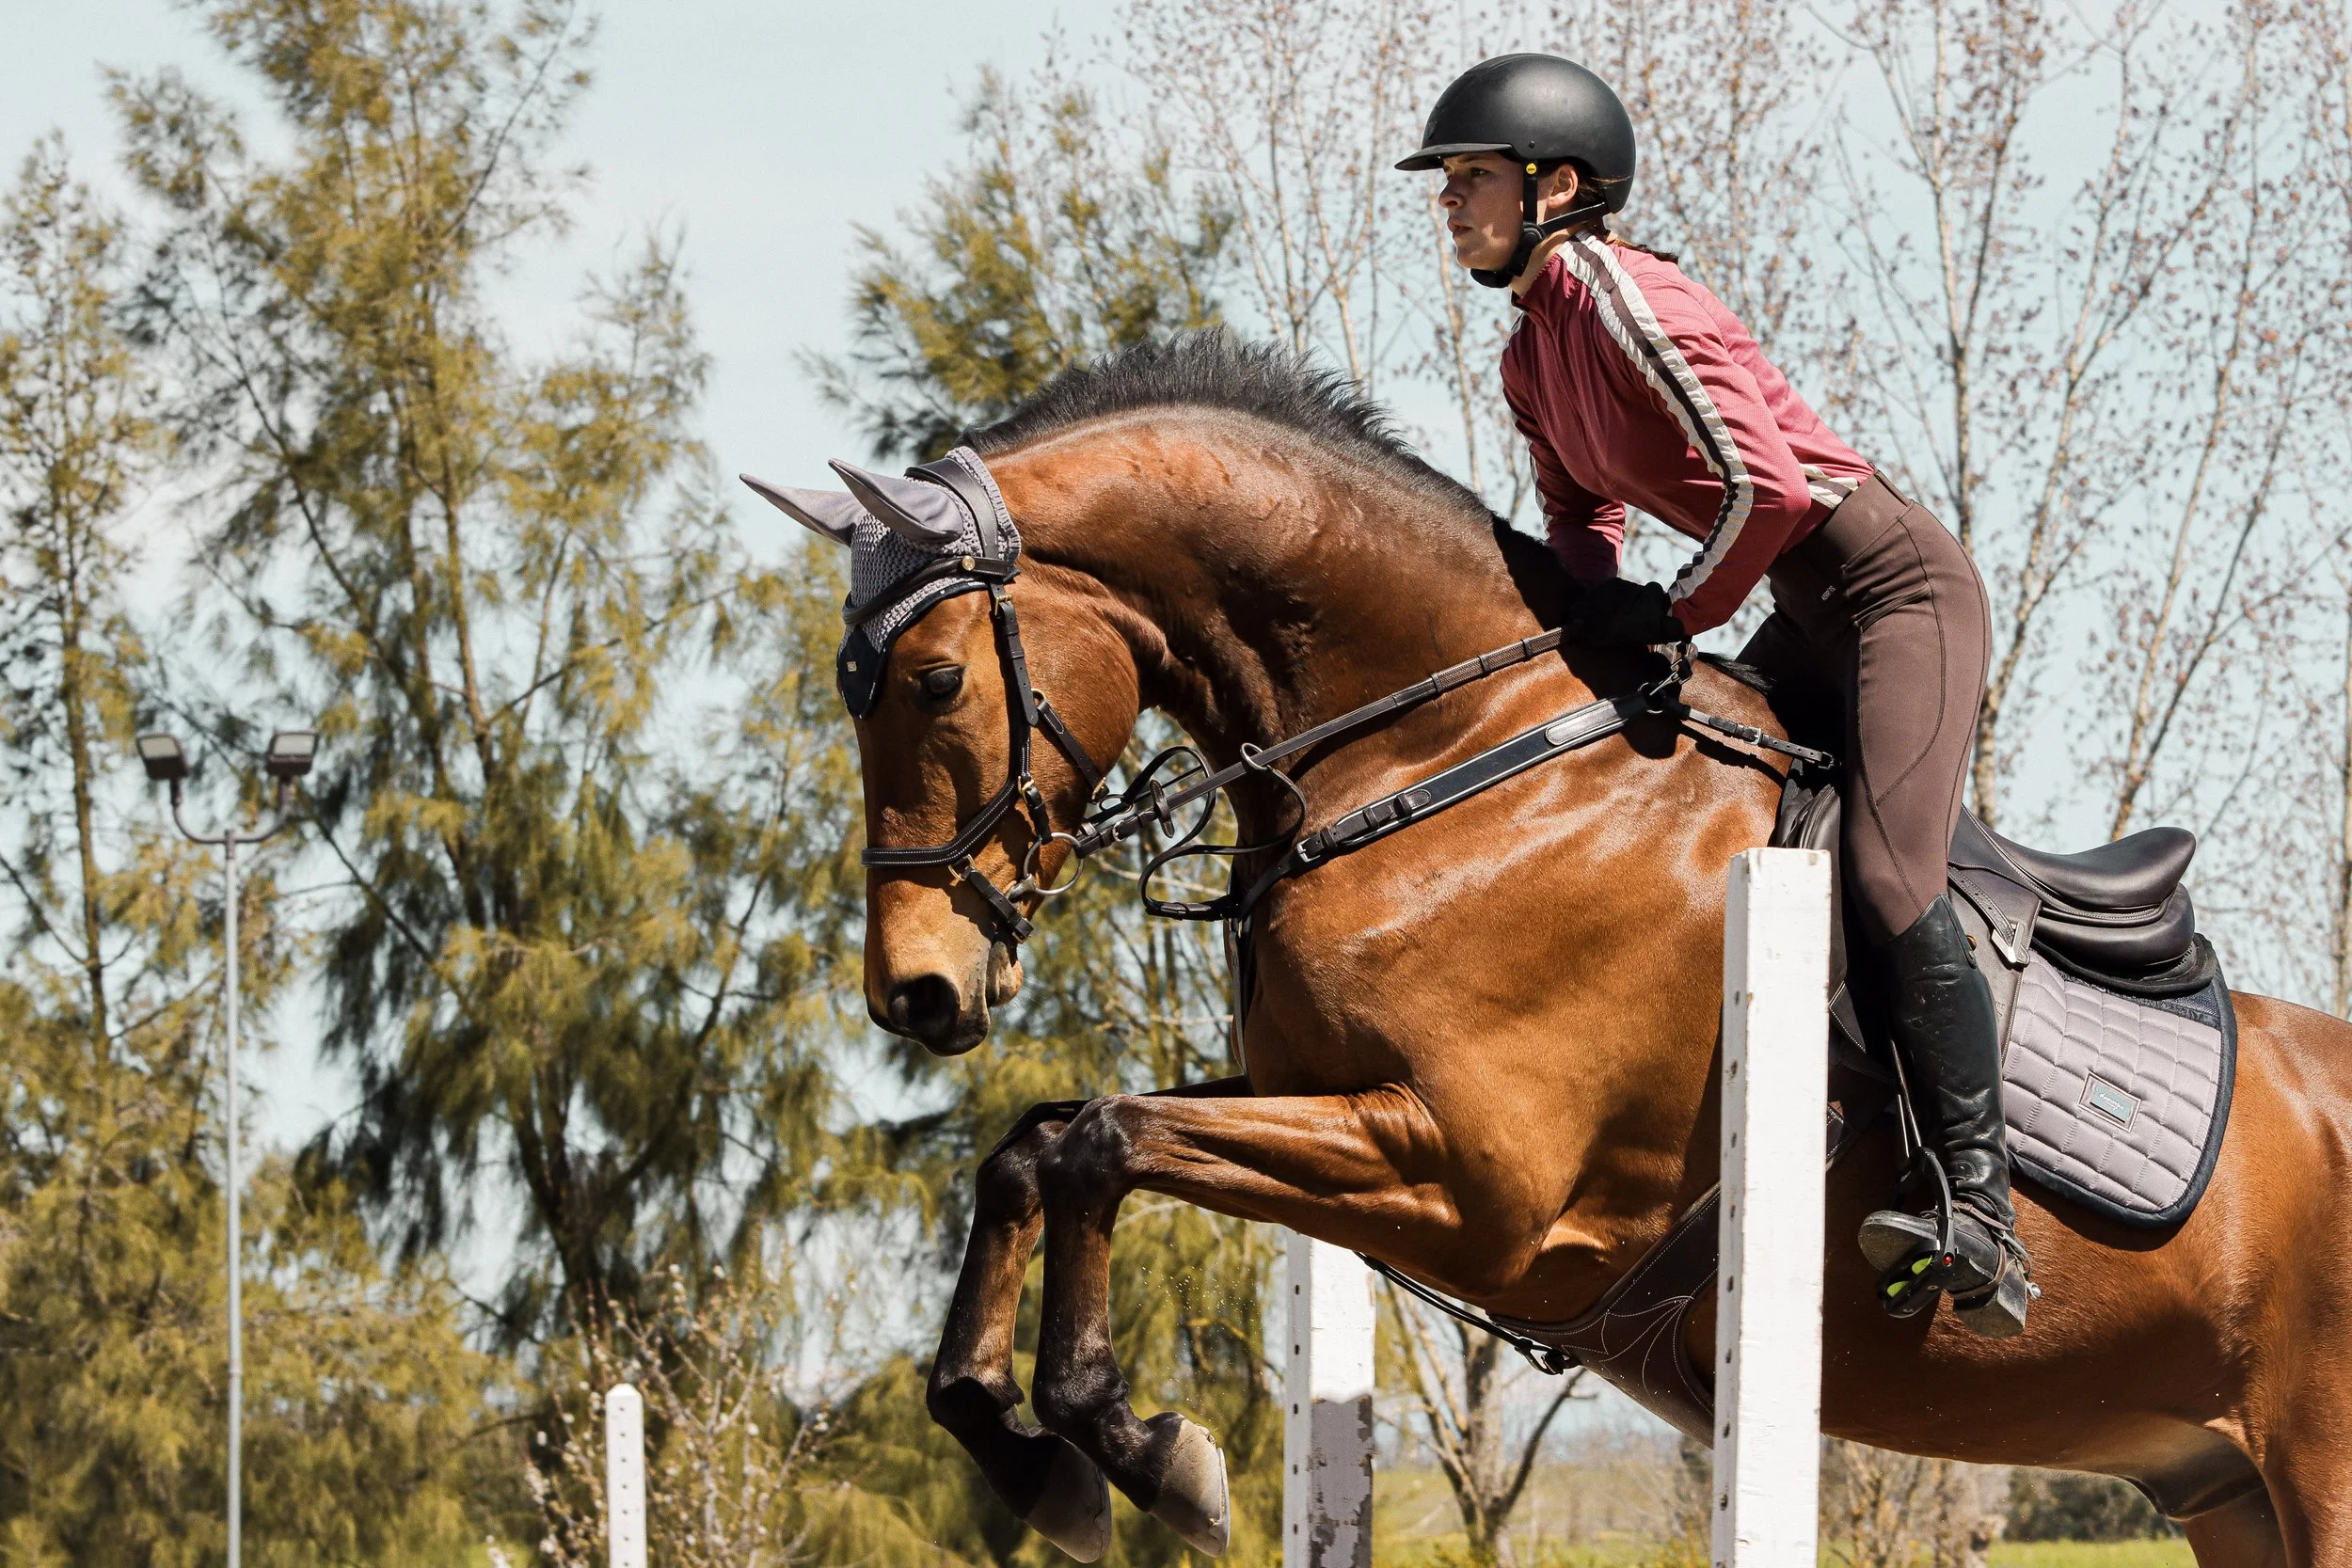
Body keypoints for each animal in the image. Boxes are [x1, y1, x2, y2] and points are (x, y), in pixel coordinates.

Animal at [790, 338, 2351, 1565]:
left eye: (932, 679)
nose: (914, 990)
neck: (1448, 754)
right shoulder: (1326, 1101)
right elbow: (1039, 1141)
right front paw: (1035, 1450)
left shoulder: (1476, 1181)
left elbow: (1101, 1139)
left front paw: (1129, 1441)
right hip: (2224, 1490)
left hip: (2314, 1476)